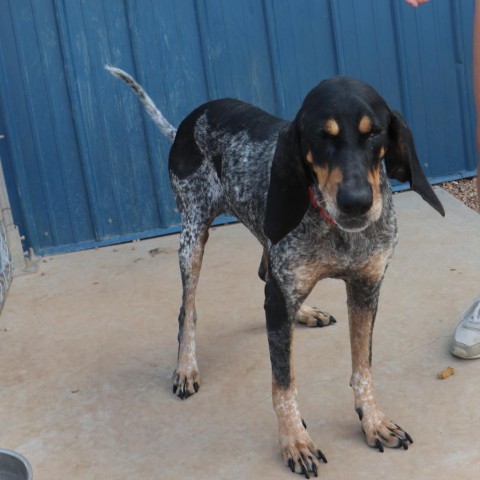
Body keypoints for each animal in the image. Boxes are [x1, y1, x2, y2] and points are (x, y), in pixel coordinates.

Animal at [107, 66, 444, 476]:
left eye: (374, 132)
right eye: (321, 136)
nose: (357, 203)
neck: (334, 230)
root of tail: (187, 121)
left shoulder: (367, 289)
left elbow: (362, 368)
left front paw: (373, 420)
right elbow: (284, 385)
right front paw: (295, 441)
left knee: (265, 277)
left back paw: (304, 311)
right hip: (192, 236)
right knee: (189, 309)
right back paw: (186, 366)